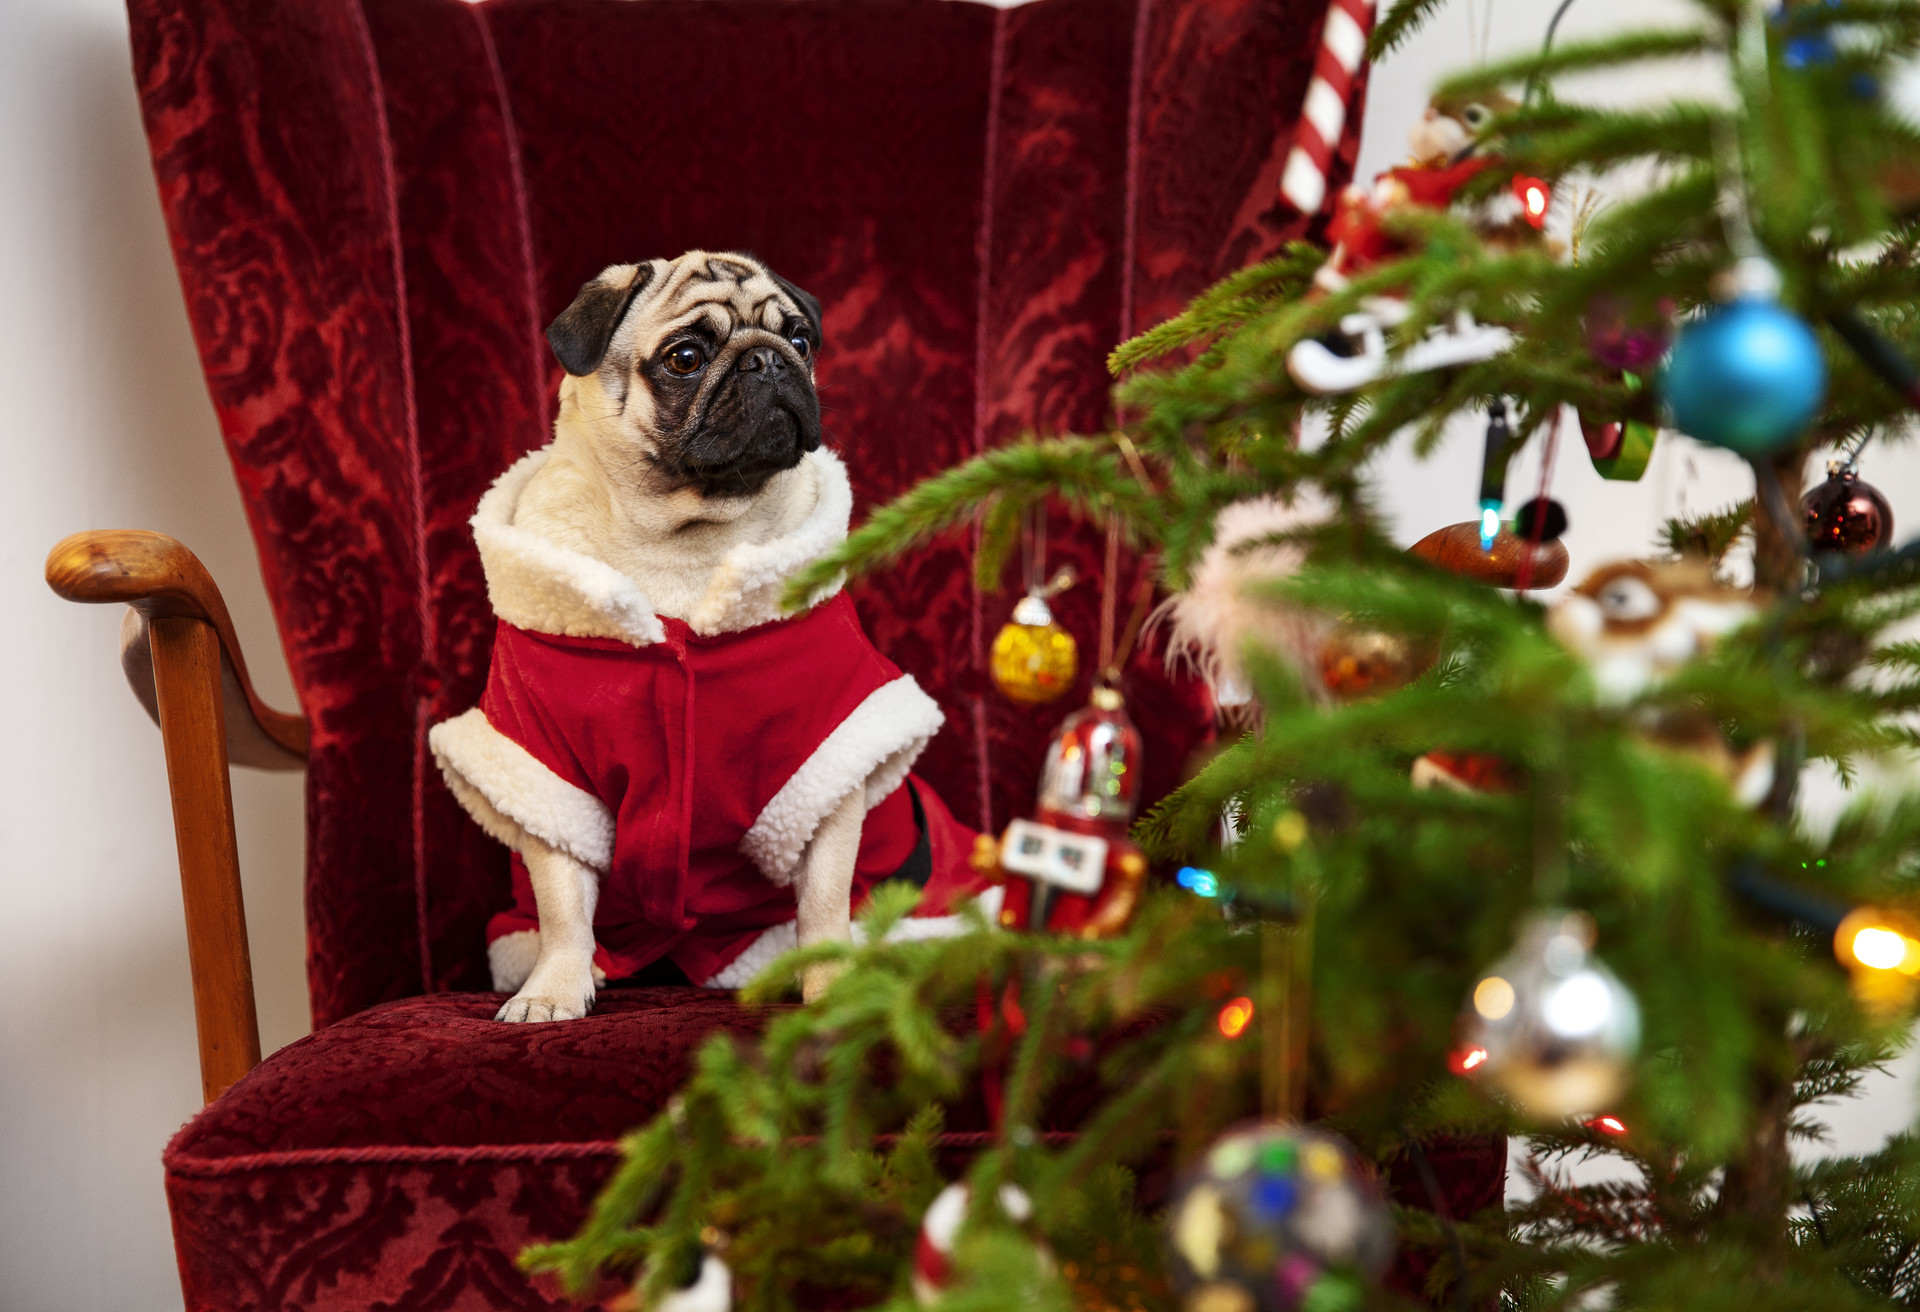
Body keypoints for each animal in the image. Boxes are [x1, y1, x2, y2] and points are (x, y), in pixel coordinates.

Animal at [435, 251, 975, 1021]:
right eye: (685, 358)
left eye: (800, 339)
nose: (768, 360)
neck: (683, 544)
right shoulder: (546, 769)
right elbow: (562, 903)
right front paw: (555, 988)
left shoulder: (829, 762)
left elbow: (824, 901)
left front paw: (830, 986)